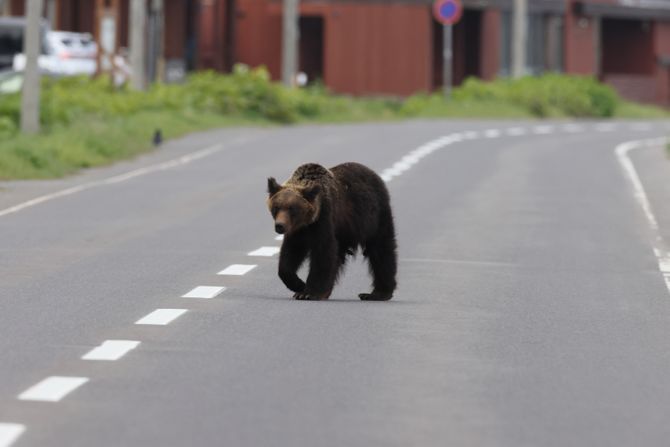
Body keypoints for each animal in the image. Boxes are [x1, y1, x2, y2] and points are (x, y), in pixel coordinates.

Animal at [270, 162, 400, 300]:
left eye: (292, 209)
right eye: (276, 207)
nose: (280, 226)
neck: (308, 222)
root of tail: (374, 174)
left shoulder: (325, 219)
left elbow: (323, 252)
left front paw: (308, 292)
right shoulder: (298, 231)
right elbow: (290, 254)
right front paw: (298, 285)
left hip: (374, 217)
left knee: (381, 250)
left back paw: (377, 293)